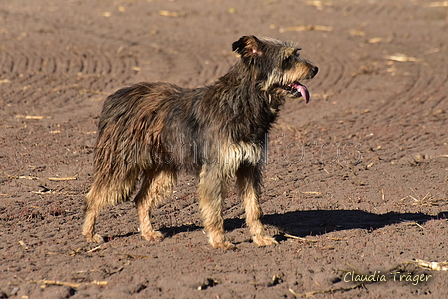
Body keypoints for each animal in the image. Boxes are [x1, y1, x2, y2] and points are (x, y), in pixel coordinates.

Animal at [81, 35, 318, 251]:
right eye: (287, 58)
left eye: (296, 54)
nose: (315, 69)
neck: (243, 101)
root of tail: (115, 97)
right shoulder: (216, 170)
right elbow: (215, 210)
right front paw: (219, 241)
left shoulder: (249, 167)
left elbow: (254, 208)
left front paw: (260, 238)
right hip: (120, 166)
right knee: (94, 197)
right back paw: (89, 235)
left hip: (162, 170)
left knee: (141, 199)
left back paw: (148, 233)